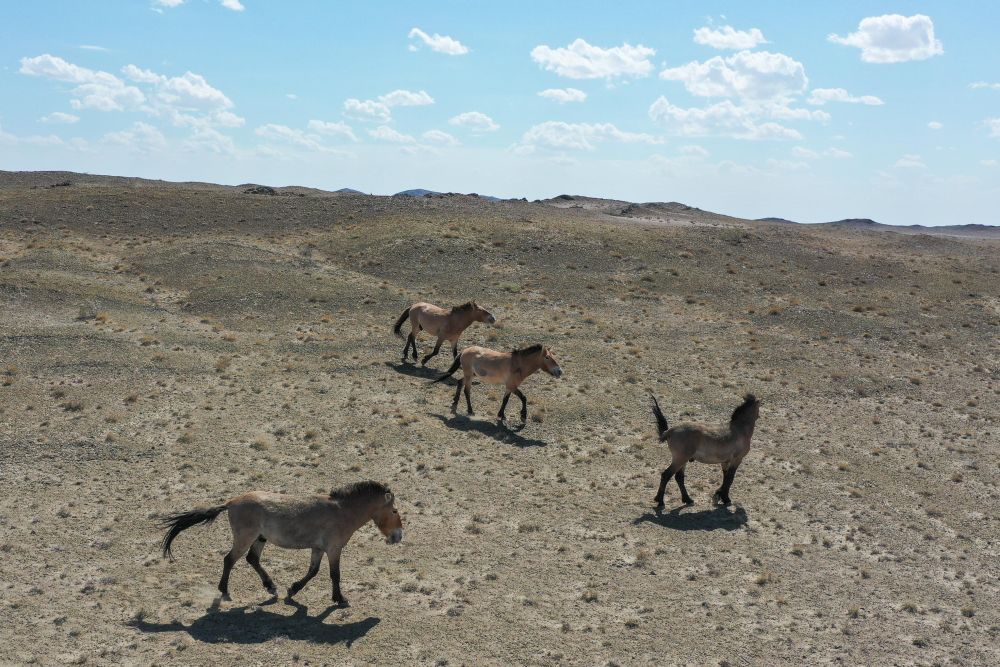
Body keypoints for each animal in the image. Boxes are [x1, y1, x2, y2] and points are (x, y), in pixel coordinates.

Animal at [160, 480, 402, 604]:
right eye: (394, 510)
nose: (399, 536)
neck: (341, 511)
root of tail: (231, 502)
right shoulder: (333, 549)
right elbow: (335, 574)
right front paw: (339, 599)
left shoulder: (318, 548)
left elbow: (313, 572)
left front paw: (292, 590)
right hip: (245, 538)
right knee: (229, 559)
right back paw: (225, 592)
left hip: (260, 538)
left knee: (252, 559)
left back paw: (271, 587)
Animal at [434, 344, 564, 422]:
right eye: (547, 357)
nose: (559, 371)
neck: (518, 364)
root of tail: (465, 351)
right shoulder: (511, 386)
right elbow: (520, 398)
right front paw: (521, 415)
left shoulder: (510, 387)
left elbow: (509, 399)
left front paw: (503, 414)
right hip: (469, 375)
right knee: (467, 391)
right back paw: (470, 411)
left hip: (471, 375)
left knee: (460, 382)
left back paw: (455, 402)